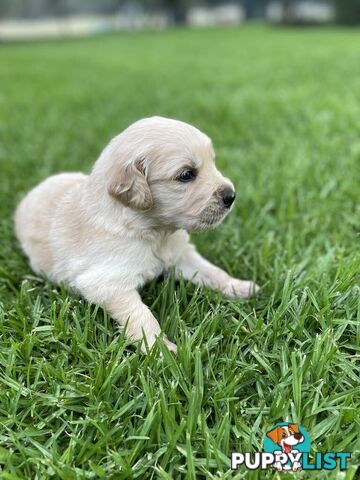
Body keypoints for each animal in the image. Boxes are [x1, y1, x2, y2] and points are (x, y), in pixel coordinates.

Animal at [14, 117, 258, 352]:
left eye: (212, 162)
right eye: (186, 174)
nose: (231, 196)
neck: (156, 234)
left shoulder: (182, 254)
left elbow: (211, 271)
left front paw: (239, 287)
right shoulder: (108, 284)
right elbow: (142, 317)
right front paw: (160, 350)